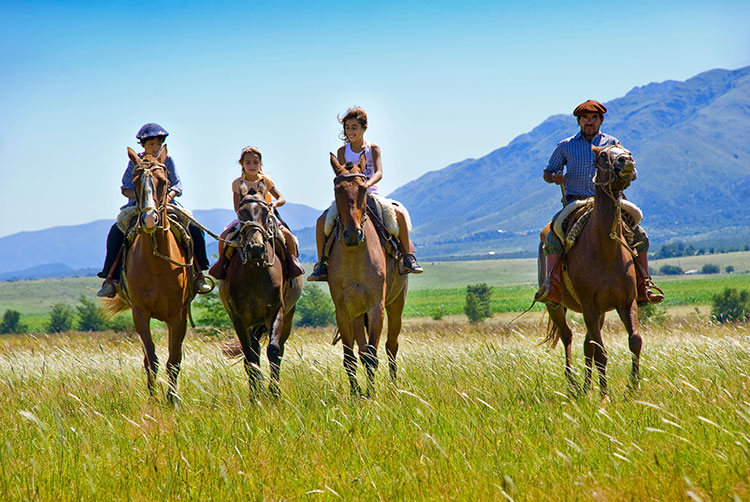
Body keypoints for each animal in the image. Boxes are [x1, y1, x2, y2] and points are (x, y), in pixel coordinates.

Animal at [103, 145, 197, 400]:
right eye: (135, 182)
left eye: (163, 181)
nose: (148, 219)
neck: (157, 264)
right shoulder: (140, 314)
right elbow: (152, 360)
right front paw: (154, 399)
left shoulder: (178, 315)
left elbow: (174, 360)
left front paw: (172, 400)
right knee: (147, 359)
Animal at [217, 186, 302, 398]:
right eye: (241, 213)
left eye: (265, 213)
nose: (255, 248)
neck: (255, 273)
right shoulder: (238, 317)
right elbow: (249, 354)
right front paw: (256, 394)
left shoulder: (276, 312)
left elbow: (273, 350)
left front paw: (274, 392)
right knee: (252, 350)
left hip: (287, 316)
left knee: (277, 348)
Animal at [328, 153, 412, 396]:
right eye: (337, 190)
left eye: (363, 188)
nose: (352, 234)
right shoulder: (344, 311)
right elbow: (351, 357)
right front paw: (357, 393)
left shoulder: (377, 307)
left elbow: (372, 355)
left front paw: (371, 394)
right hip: (358, 312)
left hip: (396, 304)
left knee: (391, 346)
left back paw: (393, 387)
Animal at [540, 143, 648, 398]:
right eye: (602, 155)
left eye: (626, 150)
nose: (627, 162)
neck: (605, 250)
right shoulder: (589, 305)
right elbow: (601, 351)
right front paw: (605, 394)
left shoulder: (626, 301)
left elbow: (635, 341)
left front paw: (633, 387)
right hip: (556, 306)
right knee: (568, 337)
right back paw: (573, 384)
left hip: (600, 312)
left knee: (586, 343)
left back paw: (587, 386)